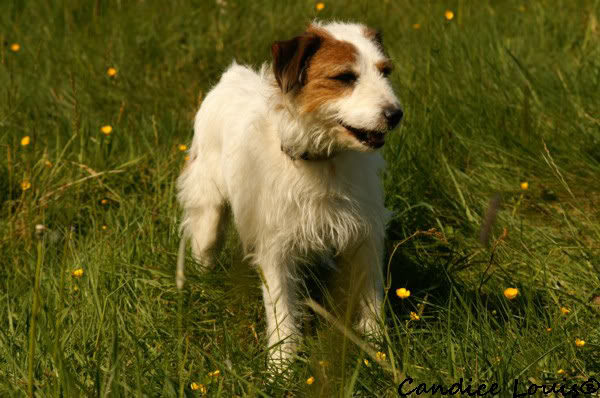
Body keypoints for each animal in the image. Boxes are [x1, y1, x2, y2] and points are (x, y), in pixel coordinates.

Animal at [177, 21, 404, 370]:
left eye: (385, 71)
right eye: (345, 77)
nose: (395, 114)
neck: (323, 163)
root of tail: (231, 75)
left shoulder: (364, 237)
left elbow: (370, 299)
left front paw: (378, 349)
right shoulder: (275, 248)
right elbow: (282, 311)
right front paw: (281, 368)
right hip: (208, 214)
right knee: (204, 248)